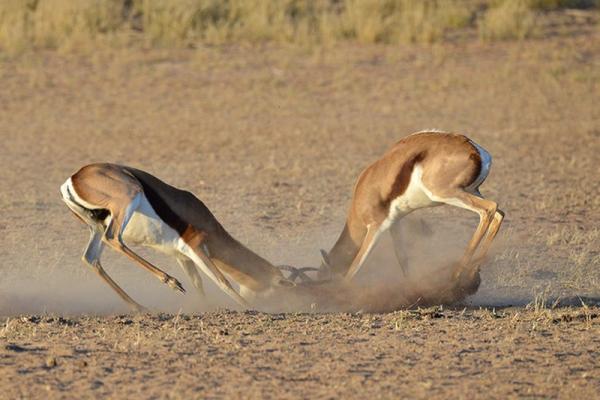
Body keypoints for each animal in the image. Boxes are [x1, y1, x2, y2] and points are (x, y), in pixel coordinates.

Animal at [60, 162, 292, 310]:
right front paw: (252, 308)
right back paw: (170, 282)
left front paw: (205, 306)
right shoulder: (195, 247)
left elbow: (199, 283)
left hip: (96, 227)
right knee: (113, 239)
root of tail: (74, 178)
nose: (286, 304)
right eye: (280, 292)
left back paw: (139, 307)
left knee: (91, 258)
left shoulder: (181, 256)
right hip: (128, 199)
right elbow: (221, 280)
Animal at [322, 130, 504, 296]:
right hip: (471, 191)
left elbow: (356, 264)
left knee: (489, 208)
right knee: (499, 213)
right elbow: (402, 256)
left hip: (446, 193)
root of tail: (476, 151)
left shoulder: (375, 227)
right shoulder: (394, 223)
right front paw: (411, 288)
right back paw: (472, 274)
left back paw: (456, 279)